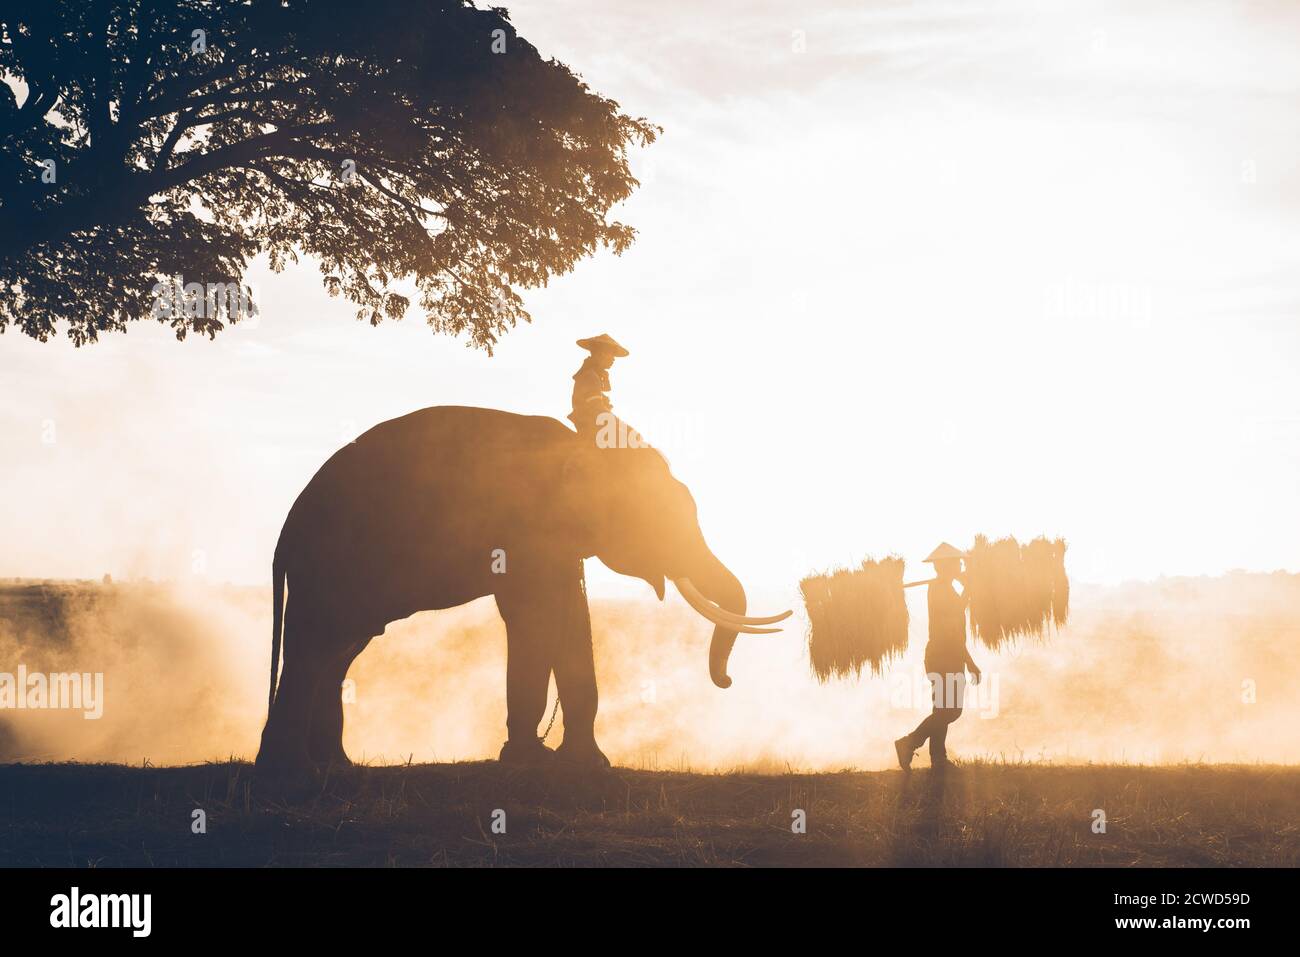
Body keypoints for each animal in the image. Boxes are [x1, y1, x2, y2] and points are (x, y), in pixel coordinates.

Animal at [248, 405, 785, 780]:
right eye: (660, 517)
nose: (727, 681)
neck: (583, 449)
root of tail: (288, 525)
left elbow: (573, 619)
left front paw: (587, 766)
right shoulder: (523, 531)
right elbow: (535, 616)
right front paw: (530, 762)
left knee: (340, 650)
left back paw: (332, 767)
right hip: (332, 564)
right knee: (317, 646)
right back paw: (290, 773)